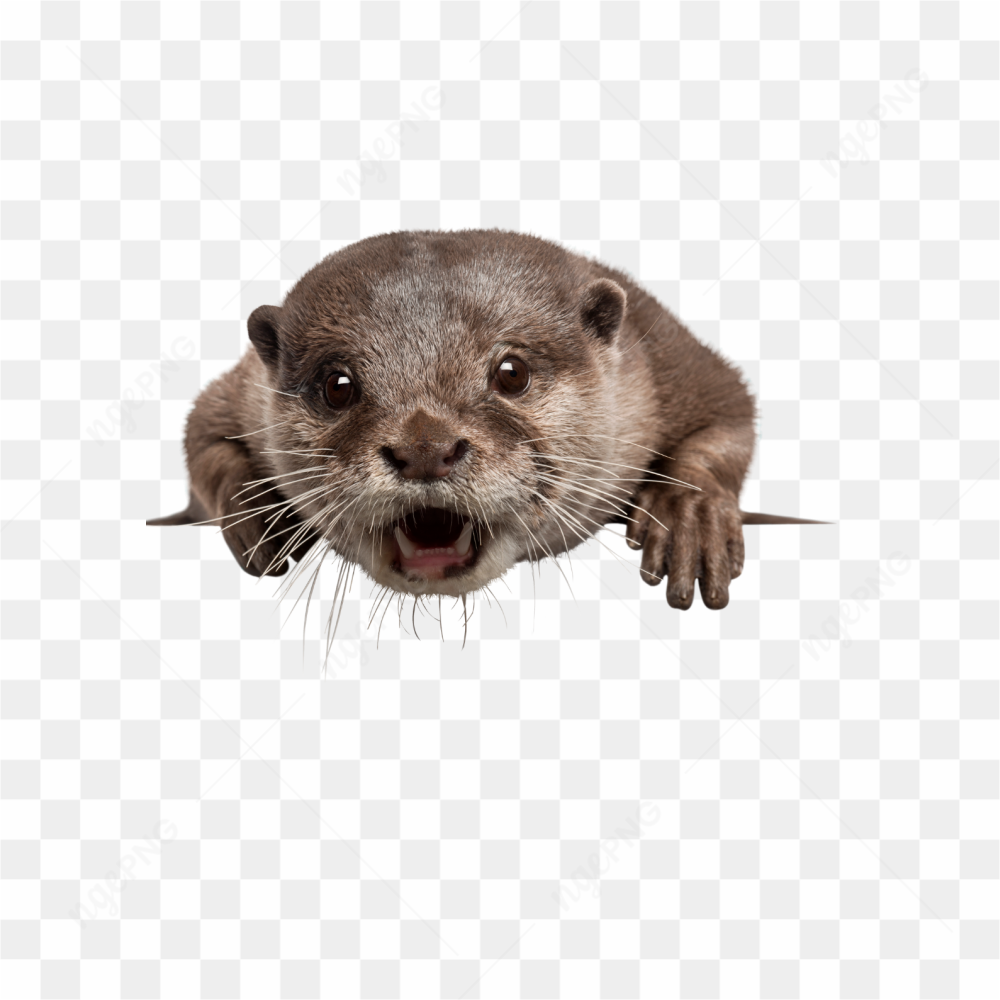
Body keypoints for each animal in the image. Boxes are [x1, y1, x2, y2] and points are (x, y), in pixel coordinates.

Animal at [149, 230, 822, 612]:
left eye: (511, 372)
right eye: (337, 385)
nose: (426, 448)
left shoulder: (665, 361)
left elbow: (728, 420)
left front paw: (688, 515)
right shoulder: (239, 392)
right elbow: (199, 434)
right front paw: (258, 514)